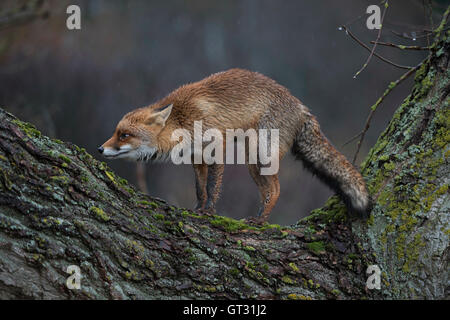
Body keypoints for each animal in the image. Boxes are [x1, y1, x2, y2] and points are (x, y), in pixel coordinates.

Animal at [100, 68, 370, 222]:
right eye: (116, 132)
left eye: (124, 135)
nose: (100, 149)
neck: (183, 119)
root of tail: (302, 107)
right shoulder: (196, 158)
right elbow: (200, 188)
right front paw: (198, 208)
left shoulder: (216, 147)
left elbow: (212, 187)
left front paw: (209, 212)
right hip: (252, 162)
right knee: (268, 191)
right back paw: (259, 218)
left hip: (261, 156)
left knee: (277, 189)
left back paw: (260, 222)